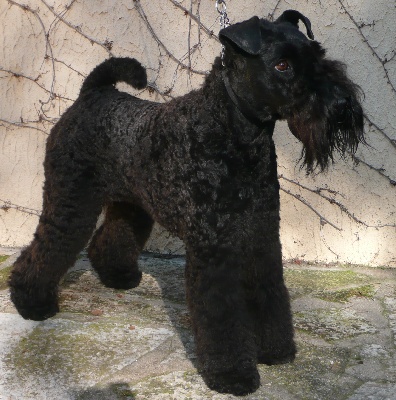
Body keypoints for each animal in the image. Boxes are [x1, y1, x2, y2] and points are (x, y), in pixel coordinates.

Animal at [10, 10, 362, 396]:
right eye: (282, 65)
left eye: (318, 56)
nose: (341, 106)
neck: (233, 136)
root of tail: (92, 94)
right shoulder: (214, 249)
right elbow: (221, 313)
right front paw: (232, 374)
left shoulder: (262, 235)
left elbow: (270, 292)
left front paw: (276, 350)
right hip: (71, 202)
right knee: (47, 247)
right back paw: (31, 301)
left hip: (132, 205)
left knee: (110, 236)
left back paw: (119, 275)